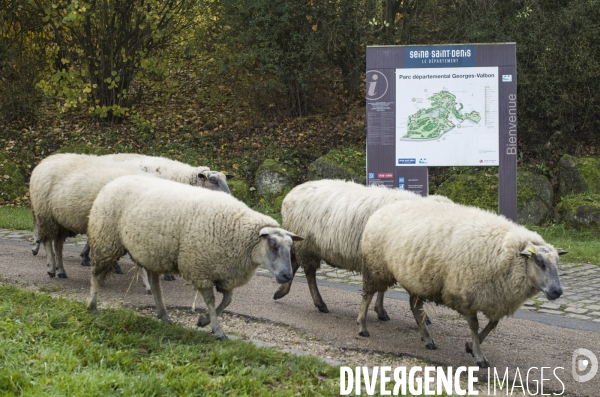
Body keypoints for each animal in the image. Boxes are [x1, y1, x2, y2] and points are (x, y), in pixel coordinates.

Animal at [86, 175, 302, 338]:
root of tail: (114, 181)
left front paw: (203, 321)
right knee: (96, 273)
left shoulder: (224, 274)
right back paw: (92, 306)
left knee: (155, 284)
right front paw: (217, 330)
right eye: (272, 244)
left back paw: (163, 315)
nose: (287, 276)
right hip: (106, 240)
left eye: (291, 246)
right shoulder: (201, 269)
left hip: (152, 252)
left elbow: (228, 301)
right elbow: (211, 301)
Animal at [272, 178, 450, 320]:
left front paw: (381, 311)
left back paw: (282, 291)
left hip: (304, 244)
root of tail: (291, 193)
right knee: (309, 273)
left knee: (295, 263)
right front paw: (383, 311)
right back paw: (319, 303)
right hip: (306, 244)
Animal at [356, 200, 568, 366]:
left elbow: (492, 325)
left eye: (557, 262)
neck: (507, 255)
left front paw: (470, 346)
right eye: (539, 261)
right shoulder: (465, 295)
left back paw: (427, 339)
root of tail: (383, 209)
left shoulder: (495, 299)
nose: (557, 291)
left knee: (415, 308)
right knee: (367, 295)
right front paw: (479, 355)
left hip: (416, 278)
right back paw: (362, 327)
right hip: (375, 267)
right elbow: (475, 326)